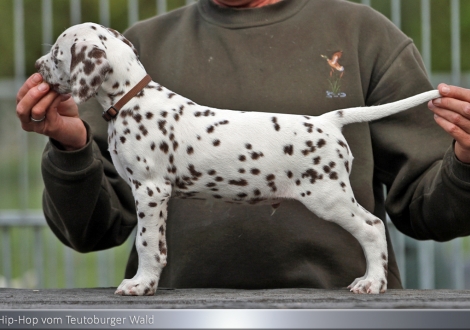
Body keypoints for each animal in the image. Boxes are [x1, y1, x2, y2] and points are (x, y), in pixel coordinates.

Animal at [35, 23, 440, 296]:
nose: (38, 65)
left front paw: (140, 284)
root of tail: (328, 121)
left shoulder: (149, 191)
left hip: (329, 197)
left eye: (56, 53)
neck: (131, 99)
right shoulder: (154, 194)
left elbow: (146, 244)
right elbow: (158, 245)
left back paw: (371, 282)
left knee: (372, 227)